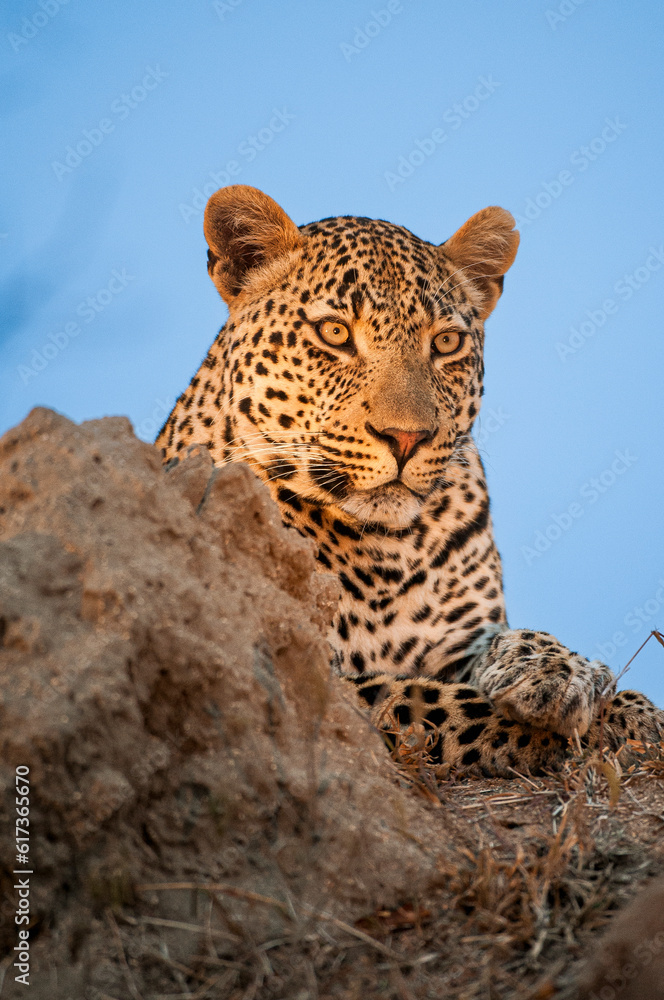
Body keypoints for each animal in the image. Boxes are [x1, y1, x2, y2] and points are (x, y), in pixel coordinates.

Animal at [157, 184, 663, 776]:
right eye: (334, 333)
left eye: (445, 343)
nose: (405, 437)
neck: (387, 550)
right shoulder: (314, 669)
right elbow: (432, 701)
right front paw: (608, 722)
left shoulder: (459, 638)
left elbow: (515, 640)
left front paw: (569, 678)